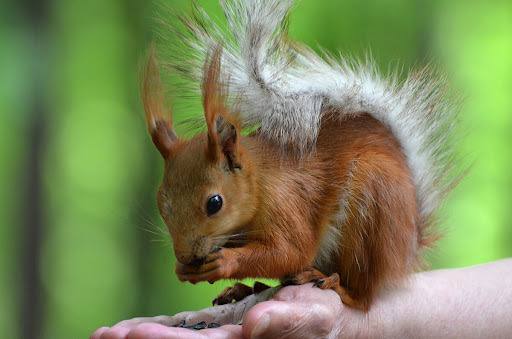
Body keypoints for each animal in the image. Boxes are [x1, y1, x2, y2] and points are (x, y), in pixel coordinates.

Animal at [141, 0, 460, 310]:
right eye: (161, 205)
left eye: (214, 203)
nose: (185, 256)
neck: (260, 181)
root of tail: (409, 244)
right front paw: (184, 270)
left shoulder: (288, 203)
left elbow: (290, 251)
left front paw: (225, 262)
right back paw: (246, 289)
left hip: (374, 204)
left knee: (364, 294)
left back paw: (338, 287)